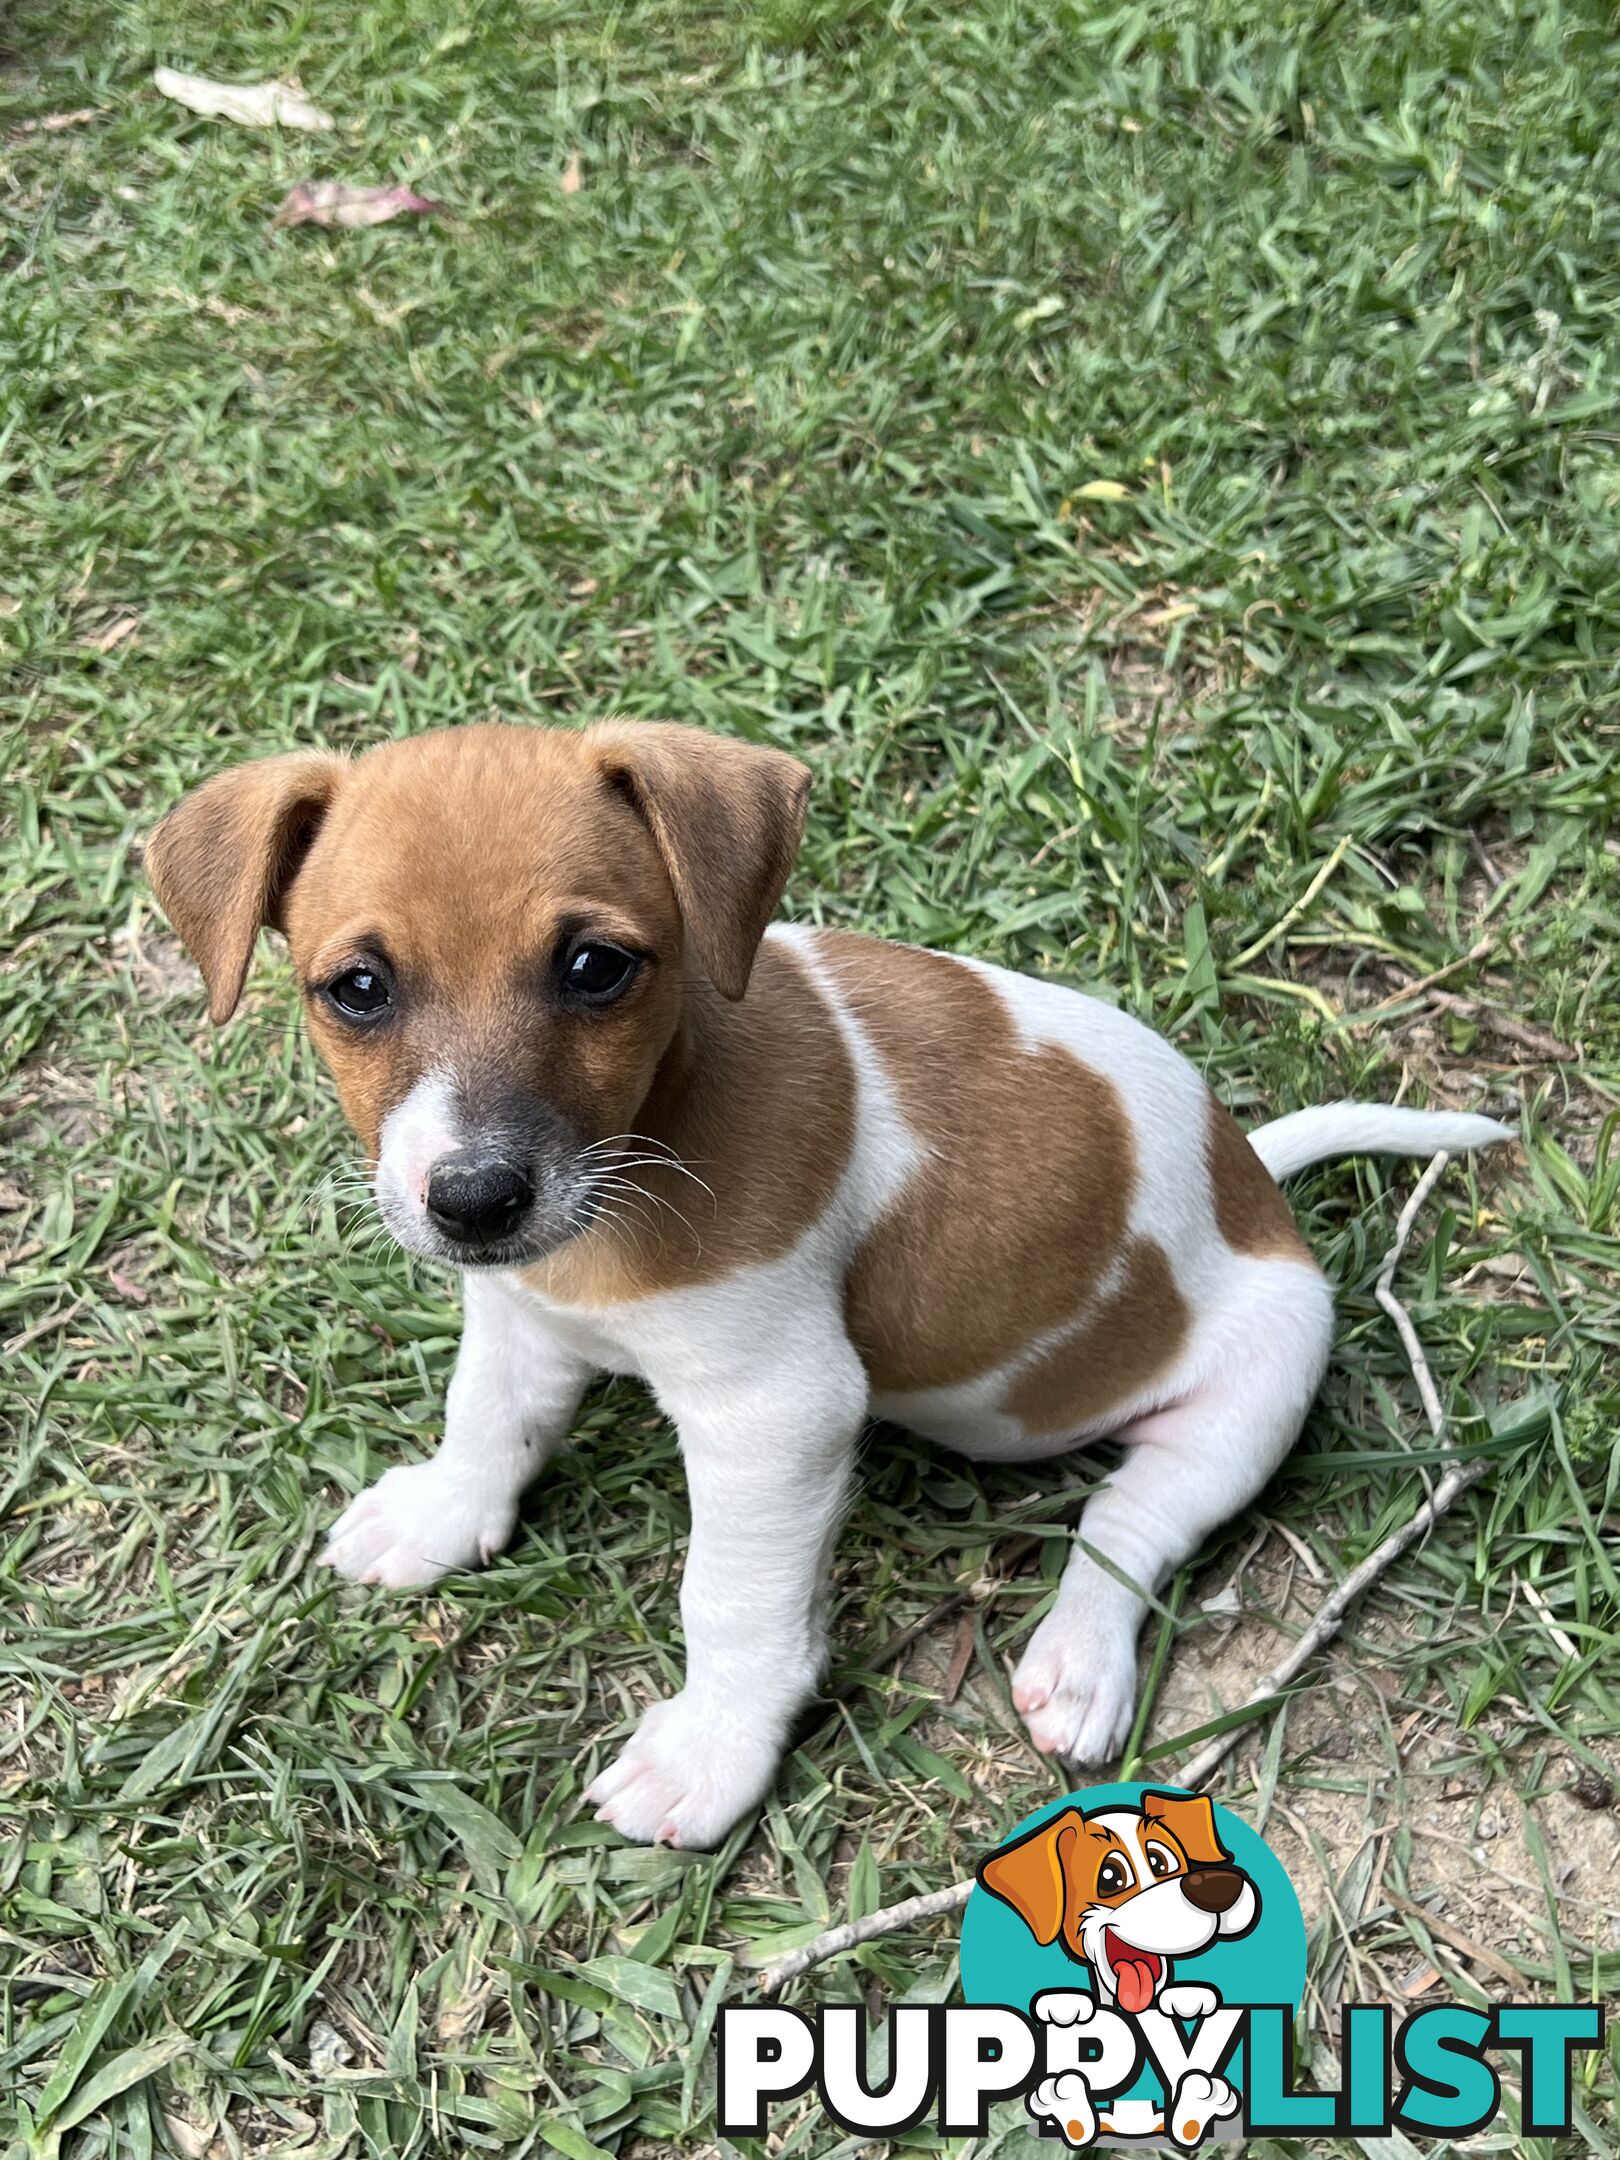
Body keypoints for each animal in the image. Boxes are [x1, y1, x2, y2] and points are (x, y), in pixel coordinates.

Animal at [145, 717, 1520, 1848]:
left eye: (595, 968)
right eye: (356, 989)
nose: (477, 1199)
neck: (652, 1137)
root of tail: (1255, 1189)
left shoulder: (775, 1416)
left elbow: (732, 1600)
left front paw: (711, 1752)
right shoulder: (523, 1313)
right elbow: (488, 1419)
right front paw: (442, 1512)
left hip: (1256, 1389)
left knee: (1128, 1529)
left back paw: (1080, 1662)